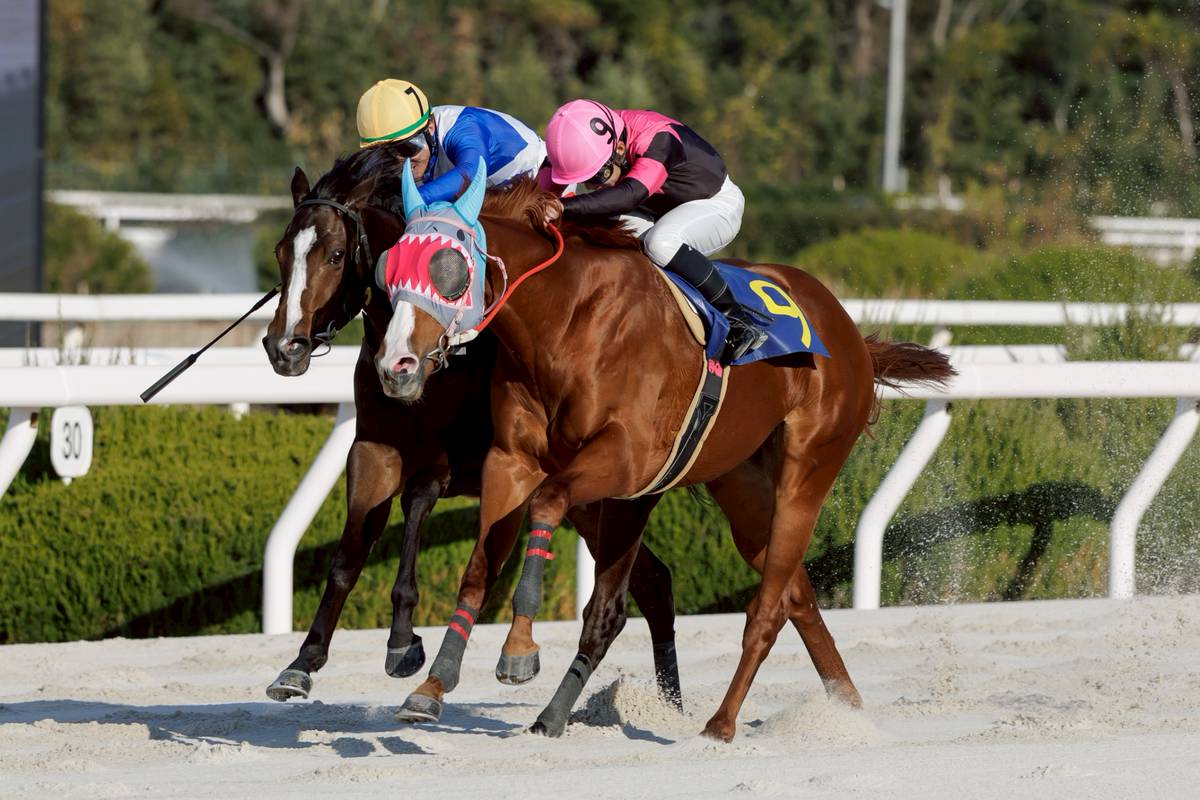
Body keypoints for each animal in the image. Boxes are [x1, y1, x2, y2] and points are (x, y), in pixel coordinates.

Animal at [258, 151, 686, 707]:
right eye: (281, 252)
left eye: (334, 255)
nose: (284, 347)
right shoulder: (373, 451)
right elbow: (348, 556)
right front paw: (302, 662)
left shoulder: (448, 462)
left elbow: (417, 504)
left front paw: (402, 643)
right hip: (591, 502)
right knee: (655, 583)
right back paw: (670, 705)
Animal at [377, 162, 954, 740]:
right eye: (388, 270)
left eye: (447, 269)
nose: (394, 366)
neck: (566, 320)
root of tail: (849, 330)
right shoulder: (512, 461)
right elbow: (478, 570)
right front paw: (432, 686)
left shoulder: (625, 463)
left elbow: (550, 506)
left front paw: (518, 651)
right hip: (742, 488)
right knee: (797, 595)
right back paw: (846, 709)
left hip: (807, 471)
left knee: (768, 607)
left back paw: (722, 723)